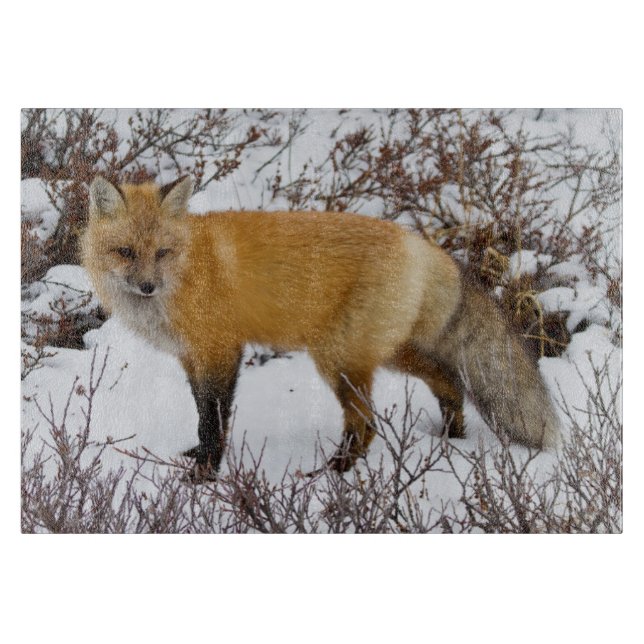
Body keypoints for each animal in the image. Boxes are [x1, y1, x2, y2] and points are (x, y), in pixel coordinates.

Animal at [82, 175, 560, 481]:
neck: (187, 272)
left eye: (162, 252)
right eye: (125, 251)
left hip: (338, 358)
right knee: (447, 379)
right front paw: (196, 458)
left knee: (367, 423)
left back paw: (337, 473)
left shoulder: (220, 350)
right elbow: (202, 413)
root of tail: (423, 245)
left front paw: (204, 475)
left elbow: (213, 421)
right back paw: (451, 438)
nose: (146, 286)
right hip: (383, 352)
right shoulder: (192, 357)